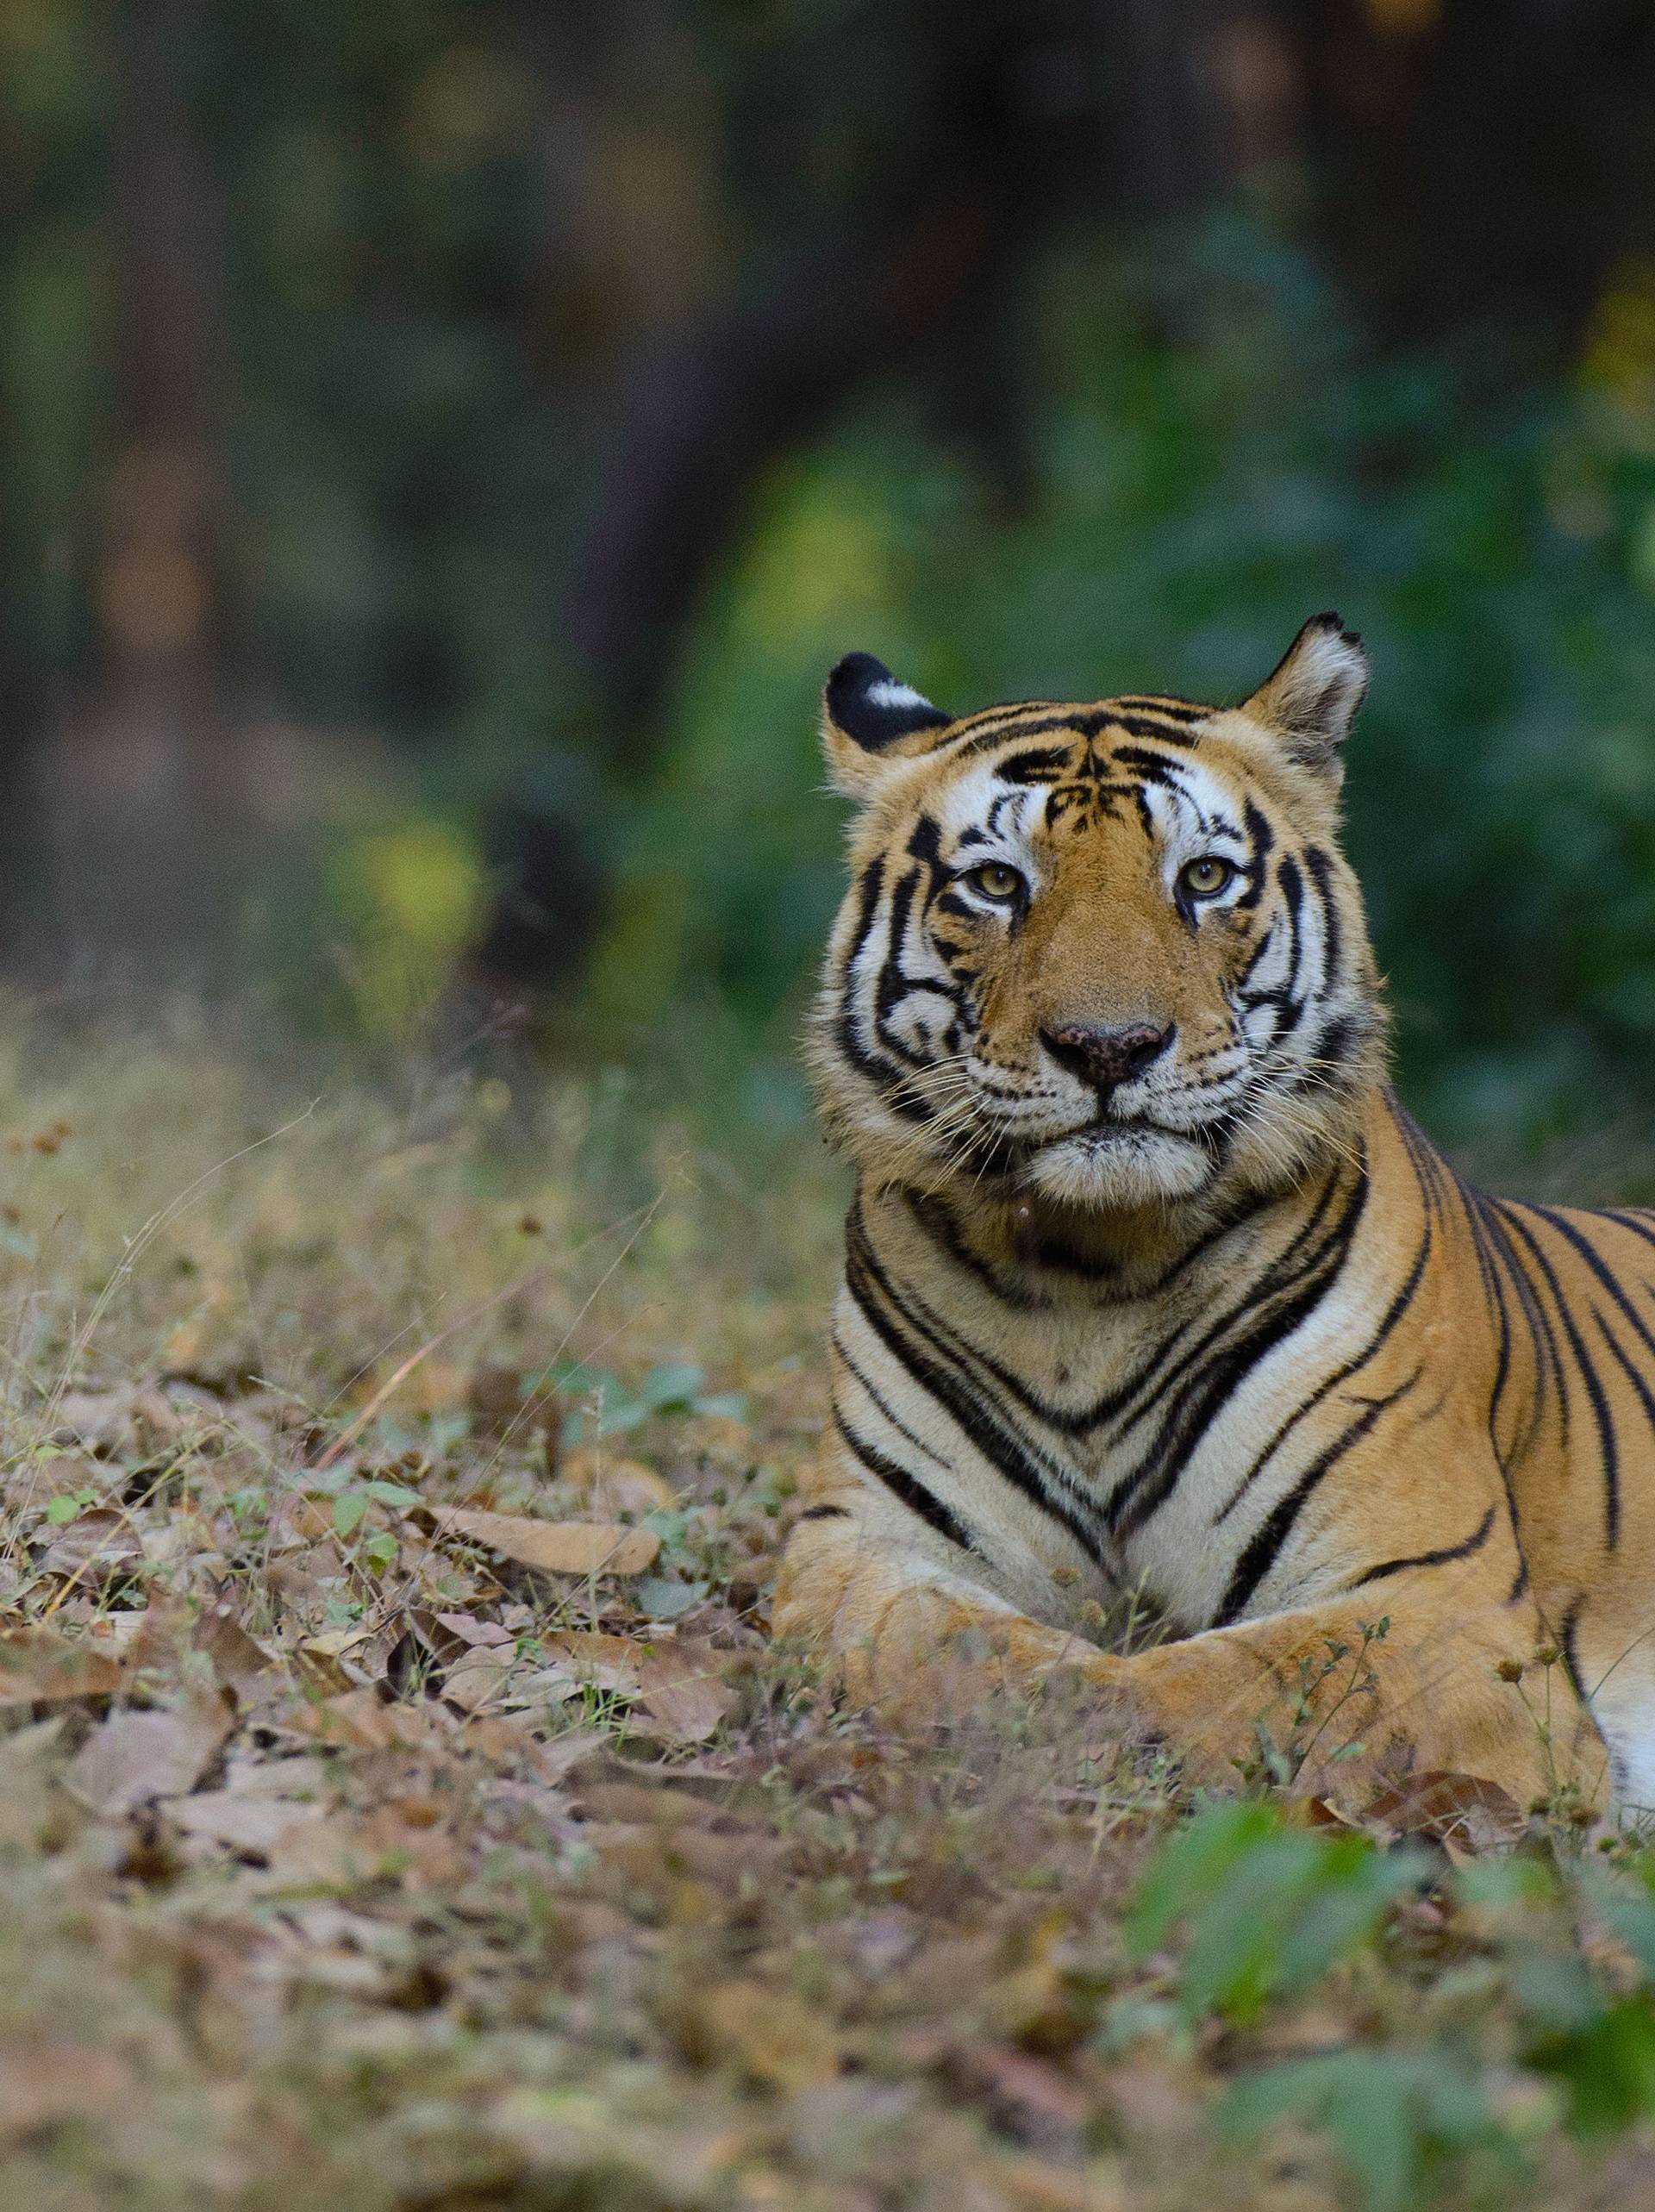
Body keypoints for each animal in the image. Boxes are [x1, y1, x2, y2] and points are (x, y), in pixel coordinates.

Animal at [774, 619, 1655, 1814]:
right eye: (998, 882)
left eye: (1202, 877)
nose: (1109, 1047)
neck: (1088, 1276)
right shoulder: (854, 1545)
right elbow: (946, 1646)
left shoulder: (1445, 1603)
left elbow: (1215, 1679)